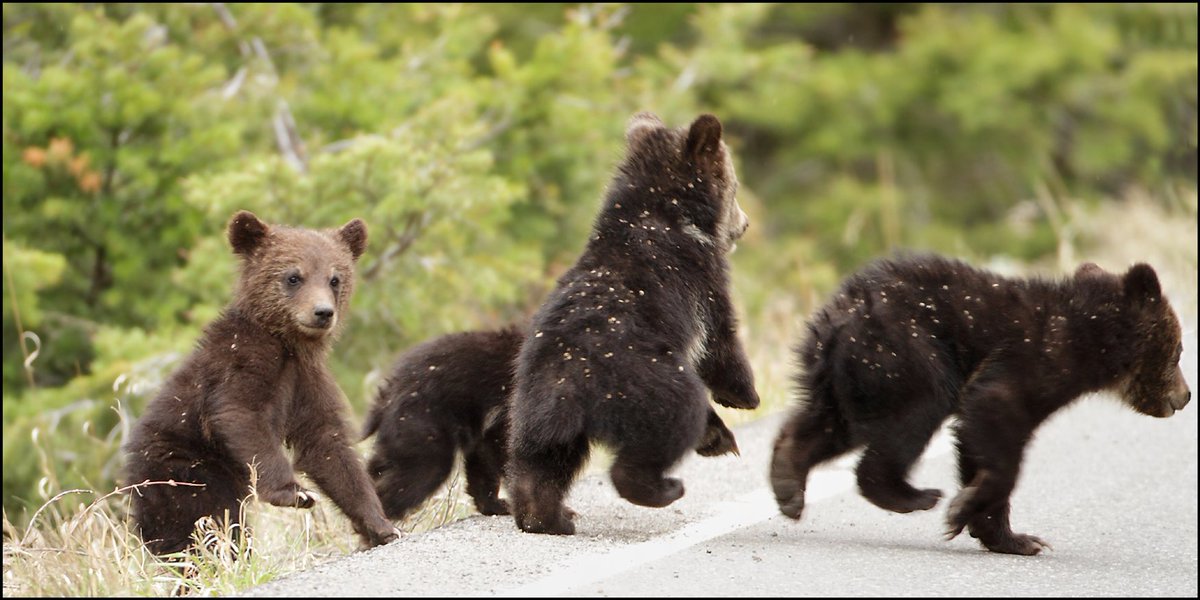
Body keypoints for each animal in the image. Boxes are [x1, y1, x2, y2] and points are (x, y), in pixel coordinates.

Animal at [123, 210, 397, 555]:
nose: (323, 312)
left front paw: (381, 524)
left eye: (335, 278)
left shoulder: (307, 380)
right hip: (186, 470)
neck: (286, 344)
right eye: (293, 276)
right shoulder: (240, 365)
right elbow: (241, 415)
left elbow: (328, 446)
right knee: (197, 522)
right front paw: (295, 492)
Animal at [362, 325, 742, 521]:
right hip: (425, 419)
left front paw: (497, 504)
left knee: (384, 462)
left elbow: (485, 460)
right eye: (708, 420)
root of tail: (389, 387)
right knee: (418, 471)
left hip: (404, 426)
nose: (731, 443)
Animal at [506, 112, 761, 535]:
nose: (745, 224)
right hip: (650, 384)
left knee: (540, 462)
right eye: (736, 186)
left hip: (530, 406)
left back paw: (548, 516)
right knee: (668, 427)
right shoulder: (700, 281)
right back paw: (668, 483)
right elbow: (719, 341)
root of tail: (569, 382)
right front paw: (745, 394)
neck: (669, 213)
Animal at [769, 253, 1191, 555]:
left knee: (827, 425)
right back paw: (915, 495)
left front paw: (1011, 536)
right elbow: (993, 414)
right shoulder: (1029, 361)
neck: (1091, 341)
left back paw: (788, 485)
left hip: (847, 378)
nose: (1185, 396)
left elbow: (977, 444)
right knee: (918, 411)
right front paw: (965, 511)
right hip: (905, 352)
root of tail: (837, 317)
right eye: (1179, 350)